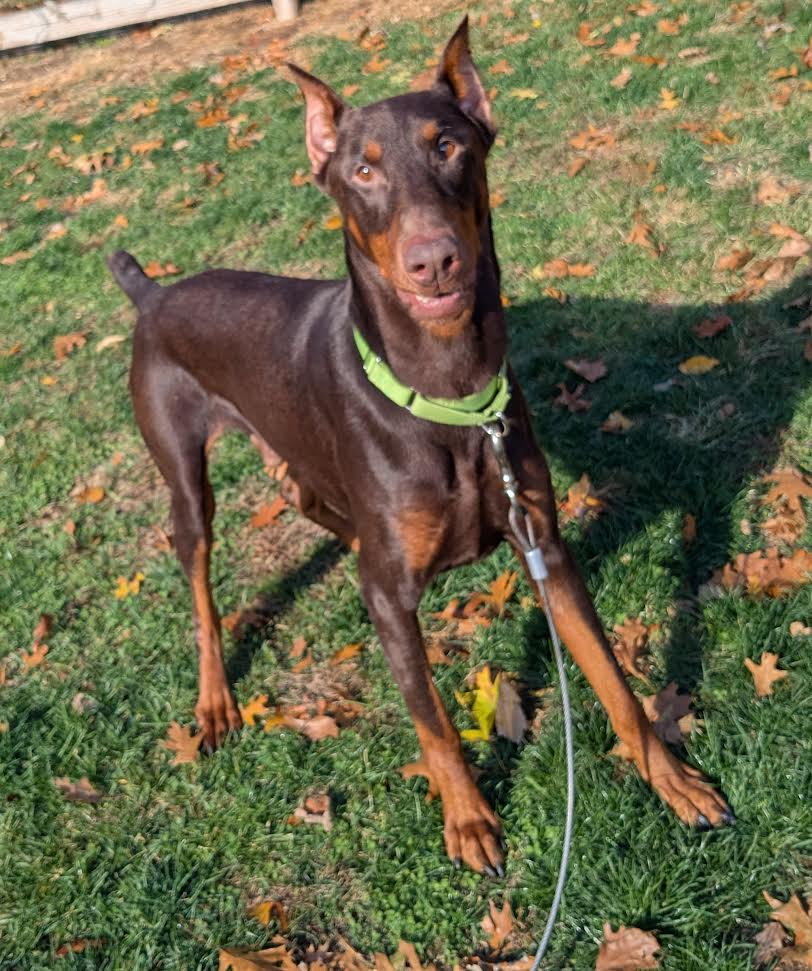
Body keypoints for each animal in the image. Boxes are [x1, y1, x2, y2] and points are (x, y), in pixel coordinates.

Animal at [108, 17, 732, 875]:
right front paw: (468, 820)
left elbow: (612, 679)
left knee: (305, 493)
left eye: (448, 146)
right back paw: (215, 700)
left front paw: (672, 780)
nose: (433, 258)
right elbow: (433, 719)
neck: (450, 392)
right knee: (203, 586)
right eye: (363, 170)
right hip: (183, 475)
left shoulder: (545, 543)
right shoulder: (391, 598)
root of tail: (156, 293)